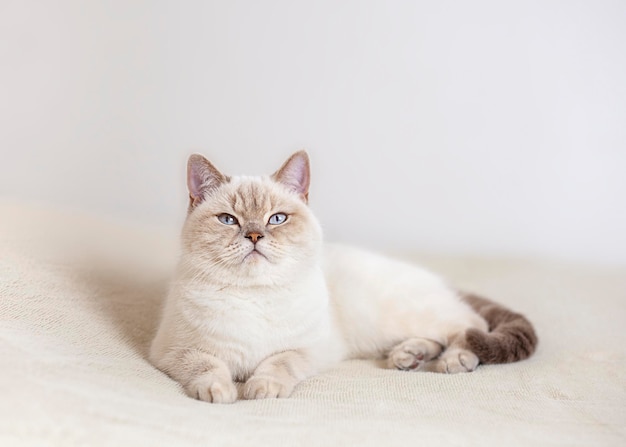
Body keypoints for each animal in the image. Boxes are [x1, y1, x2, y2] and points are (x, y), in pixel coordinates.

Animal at [149, 152, 532, 404]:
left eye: (277, 219)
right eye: (228, 220)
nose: (255, 235)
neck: (254, 295)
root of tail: (439, 279)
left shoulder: (309, 349)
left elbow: (278, 363)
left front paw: (260, 388)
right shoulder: (173, 350)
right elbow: (206, 366)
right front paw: (222, 391)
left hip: (406, 317)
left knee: (469, 326)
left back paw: (454, 360)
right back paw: (408, 357)